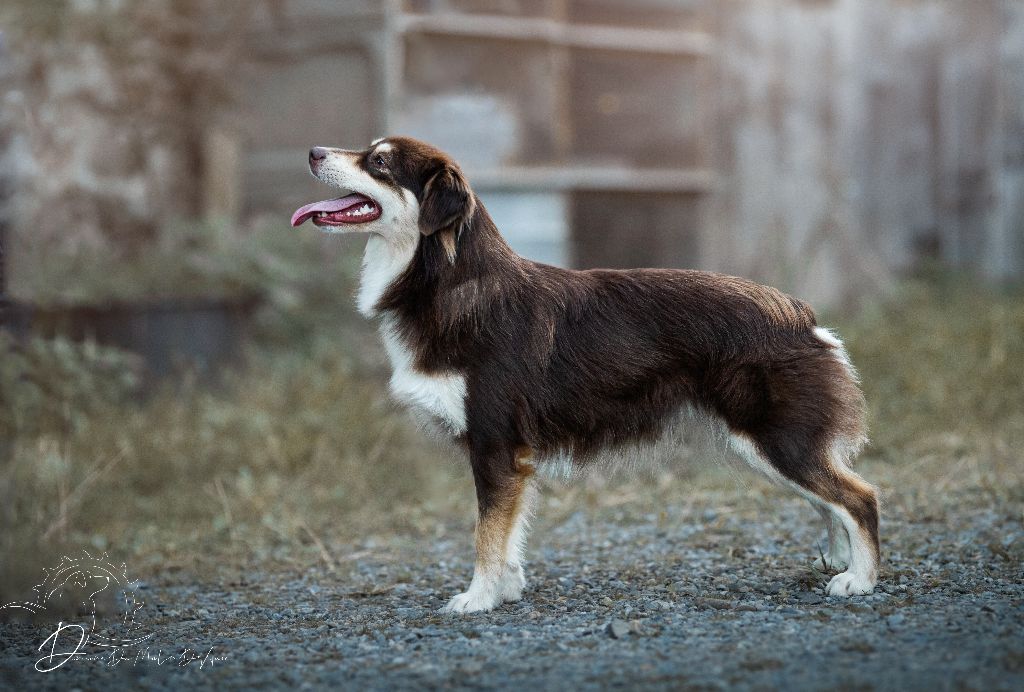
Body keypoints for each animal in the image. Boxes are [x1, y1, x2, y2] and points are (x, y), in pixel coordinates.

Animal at [290, 138, 880, 614]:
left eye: (380, 162)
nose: (313, 152)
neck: (450, 283)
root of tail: (801, 316)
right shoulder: (513, 459)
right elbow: (508, 535)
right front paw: (506, 589)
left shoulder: (494, 445)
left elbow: (486, 535)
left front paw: (478, 599)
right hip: (771, 445)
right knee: (829, 495)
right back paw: (837, 557)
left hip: (774, 440)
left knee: (860, 497)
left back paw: (861, 580)